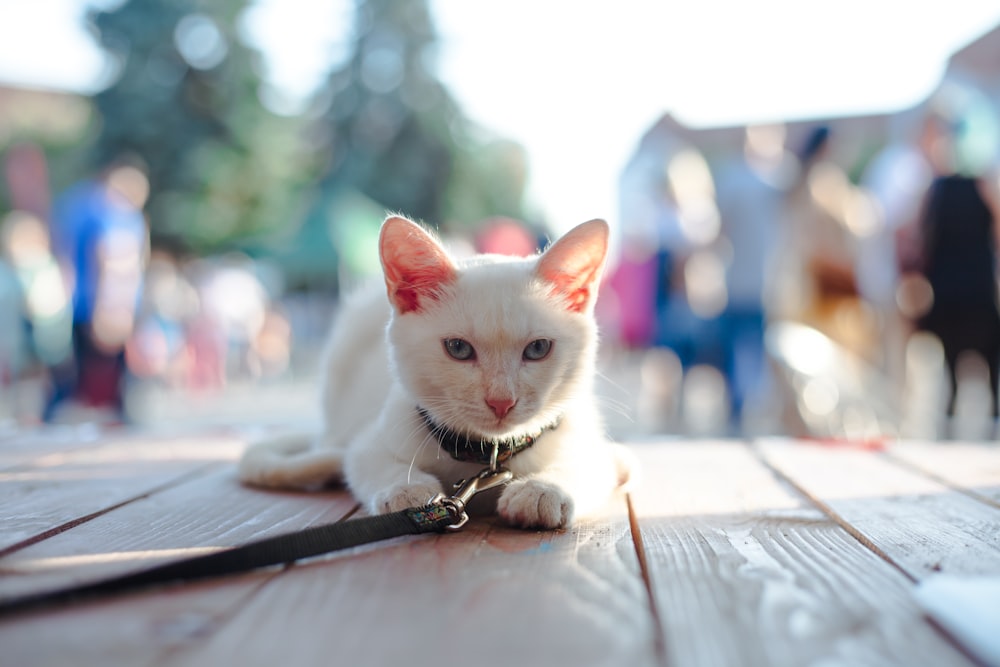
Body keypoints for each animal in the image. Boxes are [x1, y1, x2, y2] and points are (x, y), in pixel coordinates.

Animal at [239, 217, 632, 528]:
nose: (501, 401)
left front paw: (543, 489)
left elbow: (588, 464)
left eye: (538, 349)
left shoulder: (581, 438)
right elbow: (369, 460)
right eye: (458, 348)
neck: (483, 455)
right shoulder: (371, 439)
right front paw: (406, 488)